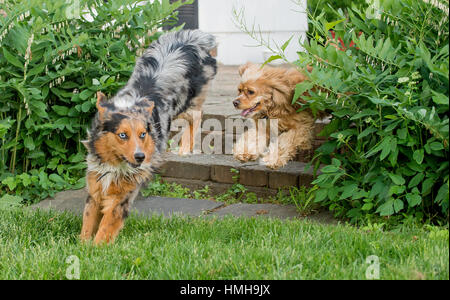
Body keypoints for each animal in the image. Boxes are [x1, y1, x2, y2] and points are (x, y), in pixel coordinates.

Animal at [81, 29, 218, 244]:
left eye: (143, 134)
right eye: (122, 135)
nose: (140, 157)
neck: (115, 164)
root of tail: (192, 38)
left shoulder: (122, 198)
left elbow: (104, 230)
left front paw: (96, 248)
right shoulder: (95, 189)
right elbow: (87, 227)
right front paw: (82, 246)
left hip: (187, 102)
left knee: (196, 116)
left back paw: (185, 149)